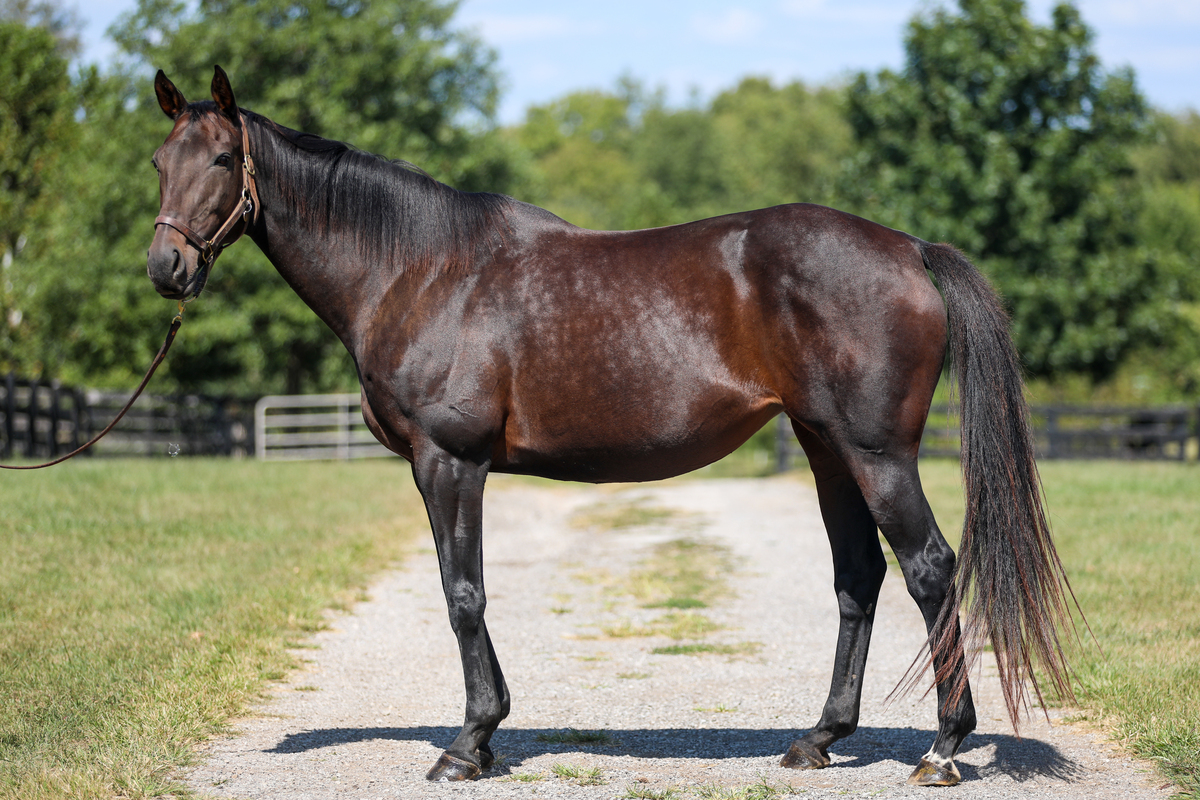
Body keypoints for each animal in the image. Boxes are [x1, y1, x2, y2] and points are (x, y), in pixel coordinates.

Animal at [146, 66, 1075, 786]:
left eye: (223, 158)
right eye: (160, 161)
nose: (167, 267)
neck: (421, 269)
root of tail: (909, 247)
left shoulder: (449, 462)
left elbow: (462, 593)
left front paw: (468, 744)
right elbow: (464, 590)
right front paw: (486, 734)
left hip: (877, 455)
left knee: (929, 571)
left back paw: (944, 748)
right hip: (827, 451)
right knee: (860, 578)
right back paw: (818, 739)